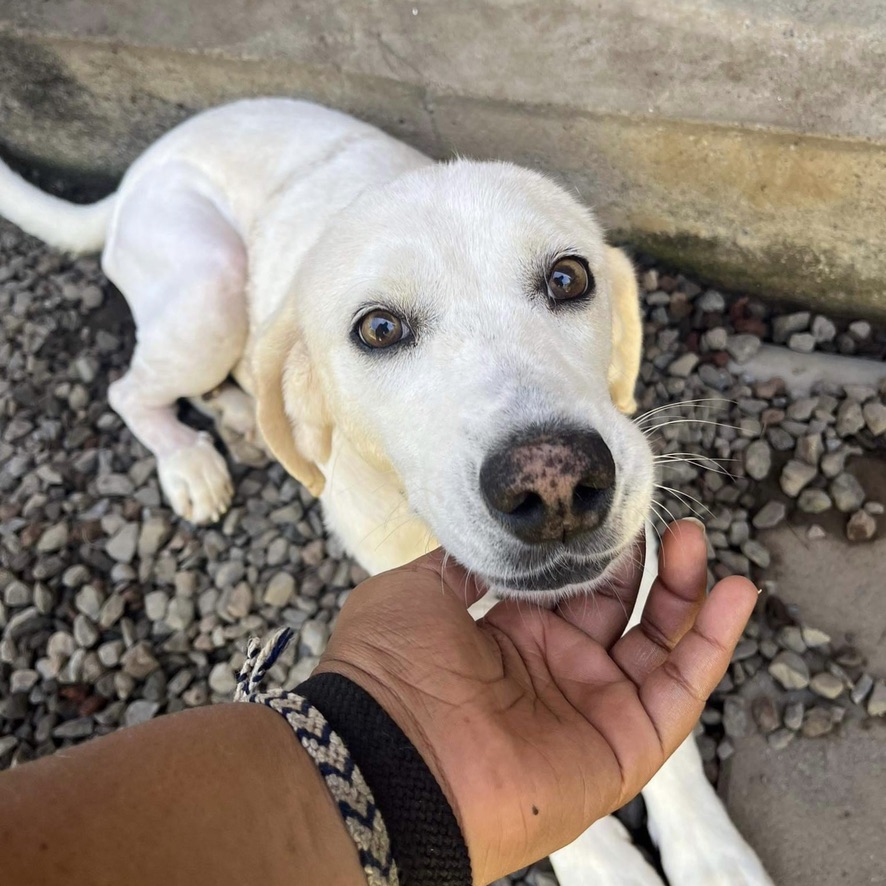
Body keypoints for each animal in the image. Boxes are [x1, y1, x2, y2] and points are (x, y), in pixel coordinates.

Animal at [0, 95, 772, 880]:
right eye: (378, 328)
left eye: (568, 279)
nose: (555, 482)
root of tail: (140, 169)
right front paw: (605, 864)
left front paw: (711, 856)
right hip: (208, 288)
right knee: (128, 389)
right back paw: (191, 459)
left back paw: (241, 420)